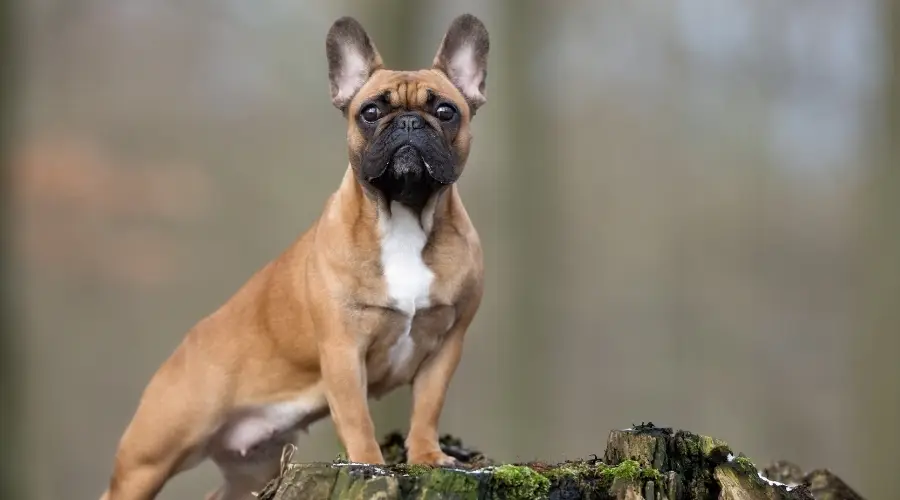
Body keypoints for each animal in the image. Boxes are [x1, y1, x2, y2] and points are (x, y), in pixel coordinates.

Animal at [100, 14, 486, 500]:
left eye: (446, 111)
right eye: (370, 112)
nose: (409, 124)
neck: (403, 215)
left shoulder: (446, 344)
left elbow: (427, 409)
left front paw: (428, 457)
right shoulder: (343, 351)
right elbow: (357, 418)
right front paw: (370, 464)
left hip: (254, 469)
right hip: (148, 458)